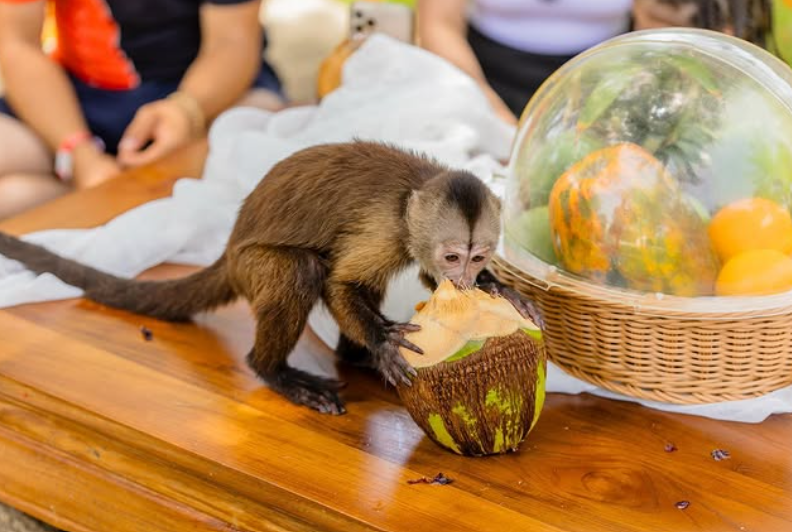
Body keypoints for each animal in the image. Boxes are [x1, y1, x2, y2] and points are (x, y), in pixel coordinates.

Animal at [0, 141, 541, 415]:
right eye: (453, 256)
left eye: (477, 257)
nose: (467, 278)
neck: (416, 188)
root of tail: (229, 247)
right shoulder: (387, 229)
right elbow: (339, 284)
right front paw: (384, 344)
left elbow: (428, 284)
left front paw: (498, 291)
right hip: (252, 265)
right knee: (299, 270)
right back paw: (276, 370)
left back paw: (354, 359)